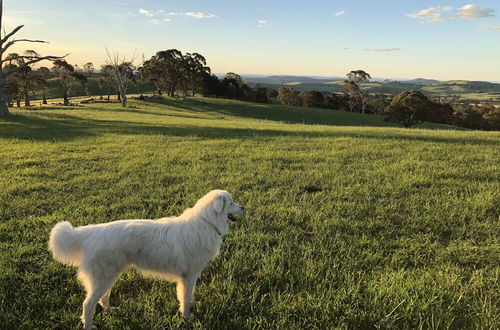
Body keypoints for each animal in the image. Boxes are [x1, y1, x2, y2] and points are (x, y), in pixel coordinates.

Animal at [47, 189, 243, 328]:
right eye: (231, 202)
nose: (243, 208)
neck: (206, 222)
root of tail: (93, 232)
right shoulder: (189, 275)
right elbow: (186, 298)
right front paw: (186, 317)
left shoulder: (187, 277)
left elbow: (187, 295)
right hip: (103, 277)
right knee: (87, 304)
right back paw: (89, 326)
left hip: (109, 276)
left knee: (102, 297)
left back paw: (110, 310)